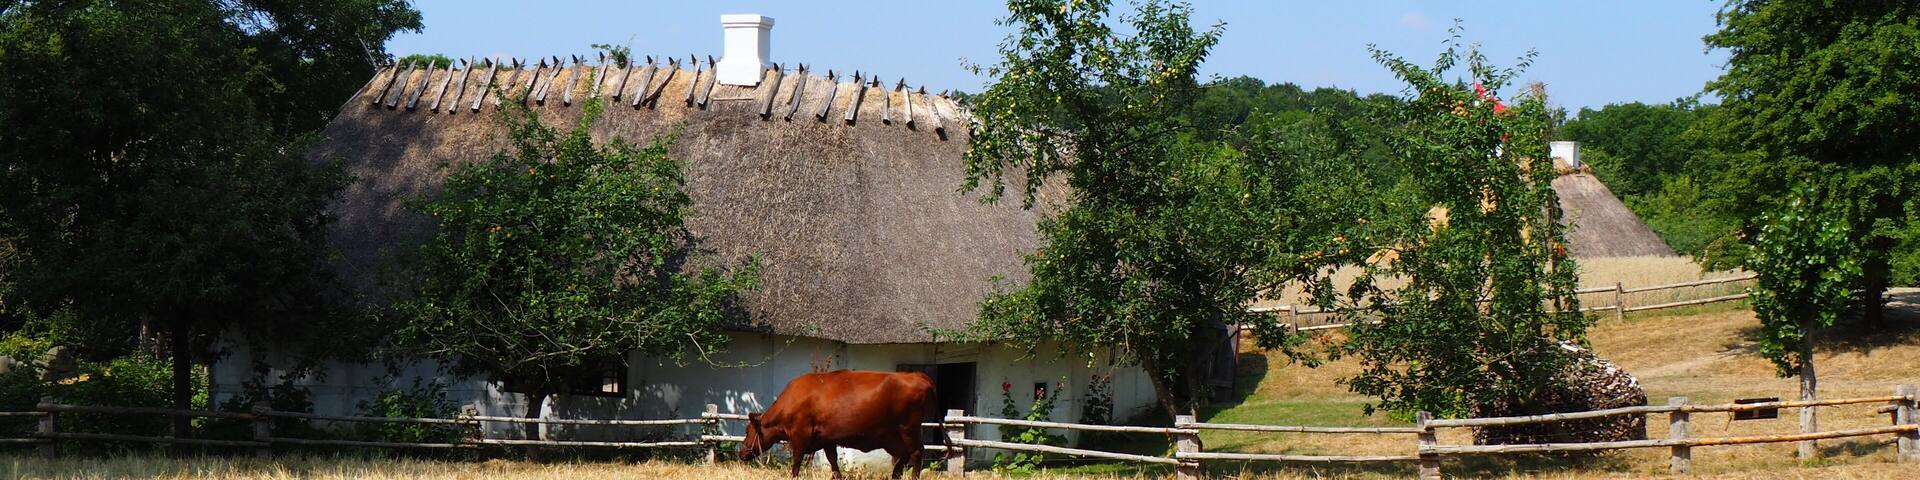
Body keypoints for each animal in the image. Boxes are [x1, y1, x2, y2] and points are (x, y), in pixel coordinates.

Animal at [740, 369, 939, 479]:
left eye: (747, 430)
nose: (742, 453)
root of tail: (917, 375)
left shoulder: (799, 437)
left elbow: (796, 463)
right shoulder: (827, 439)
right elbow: (833, 462)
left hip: (908, 430)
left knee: (916, 453)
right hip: (894, 436)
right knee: (904, 455)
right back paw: (895, 475)